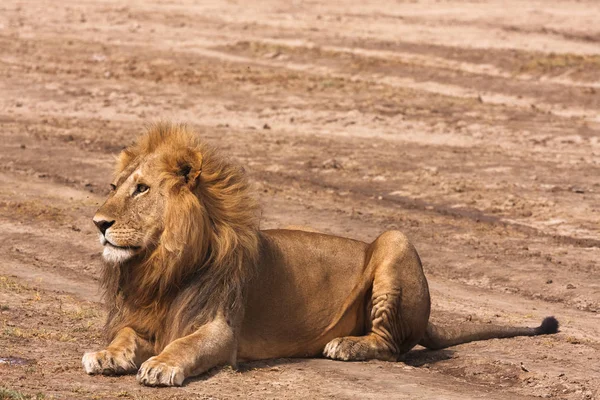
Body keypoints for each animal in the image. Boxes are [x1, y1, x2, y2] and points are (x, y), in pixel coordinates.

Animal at [81, 123, 556, 386]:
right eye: (114, 187)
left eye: (142, 189)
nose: (98, 223)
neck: (160, 265)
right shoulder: (147, 319)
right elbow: (125, 335)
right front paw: (105, 355)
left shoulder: (221, 329)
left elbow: (187, 345)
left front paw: (161, 365)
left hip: (396, 239)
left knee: (391, 346)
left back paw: (346, 345)